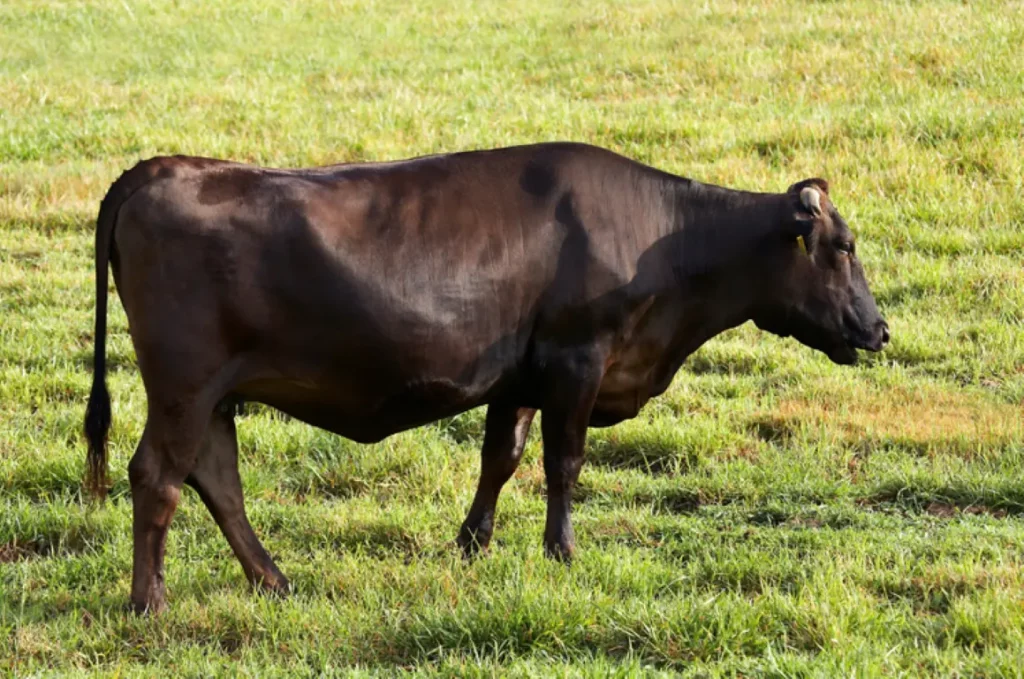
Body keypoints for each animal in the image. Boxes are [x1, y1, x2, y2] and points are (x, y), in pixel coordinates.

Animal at [86, 140, 888, 614]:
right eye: (844, 247)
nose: (879, 330)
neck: (662, 241)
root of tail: (164, 166)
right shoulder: (577, 358)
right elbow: (564, 462)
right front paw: (562, 551)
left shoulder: (520, 378)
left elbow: (500, 457)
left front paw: (473, 544)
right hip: (184, 384)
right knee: (158, 475)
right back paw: (149, 602)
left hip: (215, 393)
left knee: (216, 478)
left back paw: (274, 580)